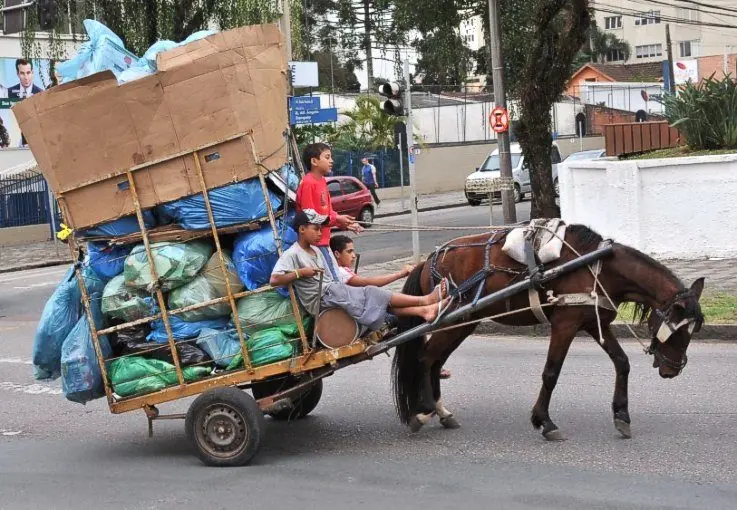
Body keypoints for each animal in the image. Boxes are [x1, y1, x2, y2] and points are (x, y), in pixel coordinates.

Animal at [394, 225, 704, 440]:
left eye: (694, 330)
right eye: (679, 331)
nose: (672, 370)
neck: (598, 267)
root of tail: (427, 261)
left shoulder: (595, 323)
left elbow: (622, 363)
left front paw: (622, 416)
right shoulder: (565, 325)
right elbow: (551, 373)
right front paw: (544, 422)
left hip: (463, 322)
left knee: (436, 362)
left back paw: (441, 412)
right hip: (451, 321)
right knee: (425, 359)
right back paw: (423, 411)